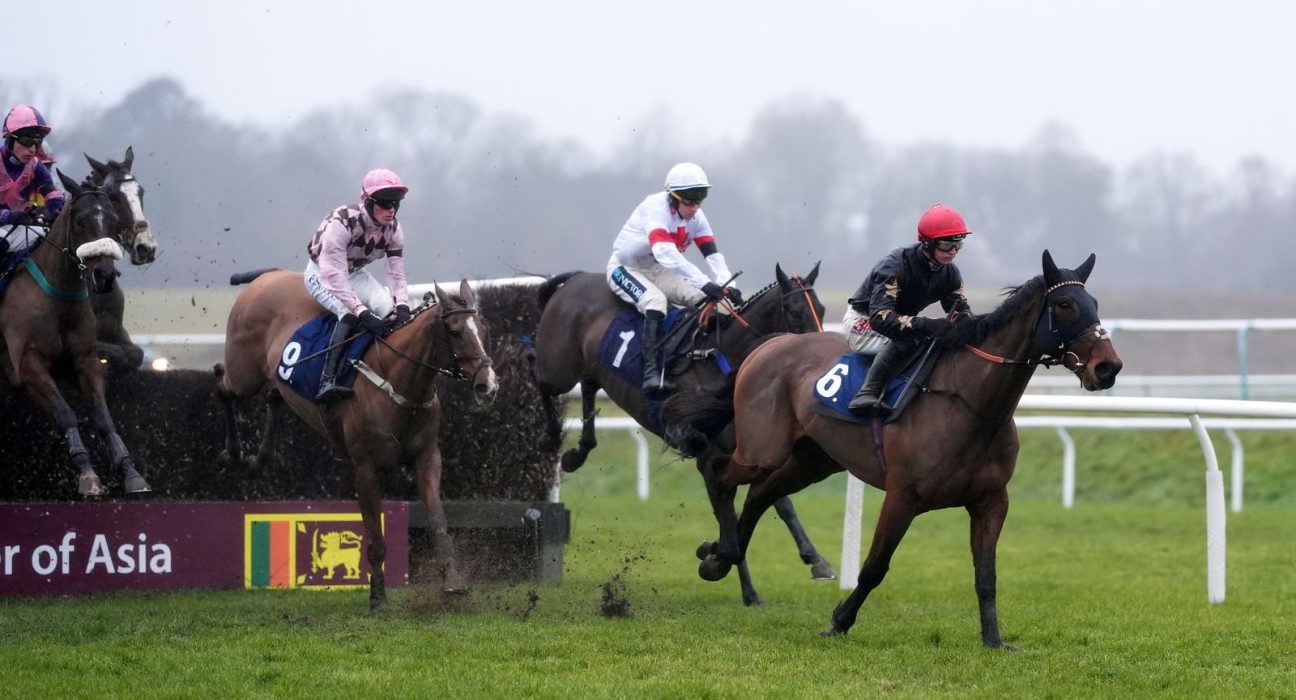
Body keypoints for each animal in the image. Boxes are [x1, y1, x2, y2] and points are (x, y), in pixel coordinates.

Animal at [0, 171, 151, 496]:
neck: (59, 296)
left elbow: (104, 418)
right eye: (81, 221)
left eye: (111, 219)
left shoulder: (84, 360)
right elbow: (66, 413)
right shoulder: (28, 364)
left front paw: (131, 472)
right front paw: (87, 474)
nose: (104, 277)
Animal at [215, 271, 499, 609]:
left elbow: (438, 521)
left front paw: (454, 582)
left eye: (483, 328)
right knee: (222, 385)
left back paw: (259, 459)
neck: (397, 381)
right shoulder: (365, 467)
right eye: (455, 331)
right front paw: (378, 598)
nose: (488, 386)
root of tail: (269, 274)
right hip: (244, 373)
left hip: (271, 377)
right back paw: (234, 452)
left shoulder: (428, 457)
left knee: (272, 395)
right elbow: (375, 537)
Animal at [531, 263, 837, 606]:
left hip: (592, 367)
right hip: (559, 366)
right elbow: (730, 517)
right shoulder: (709, 457)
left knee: (587, 385)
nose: (821, 360)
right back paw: (552, 437)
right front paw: (737, 579)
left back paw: (578, 452)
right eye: (795, 311)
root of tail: (578, 278)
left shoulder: (748, 455)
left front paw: (816, 560)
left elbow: (780, 504)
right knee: (539, 376)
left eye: (822, 310)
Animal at [665, 251, 1123, 649]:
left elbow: (986, 575)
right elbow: (874, 568)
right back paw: (722, 551)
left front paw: (995, 640)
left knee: (761, 494)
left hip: (814, 460)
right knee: (719, 472)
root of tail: (769, 344)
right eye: (1065, 304)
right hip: (764, 447)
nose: (1108, 367)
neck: (970, 403)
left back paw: (720, 556)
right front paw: (839, 623)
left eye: (1095, 303)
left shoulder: (992, 500)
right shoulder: (903, 496)